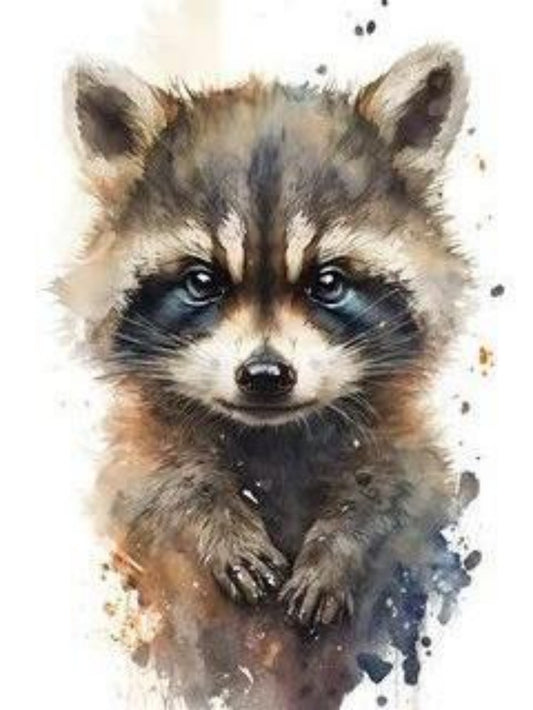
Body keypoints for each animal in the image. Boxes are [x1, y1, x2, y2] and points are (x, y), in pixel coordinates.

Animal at [60, 44, 470, 709]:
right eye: (202, 281)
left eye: (328, 282)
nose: (265, 375)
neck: (273, 437)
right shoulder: (133, 466)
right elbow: (158, 483)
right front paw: (210, 513)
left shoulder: (410, 455)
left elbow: (396, 490)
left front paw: (343, 543)